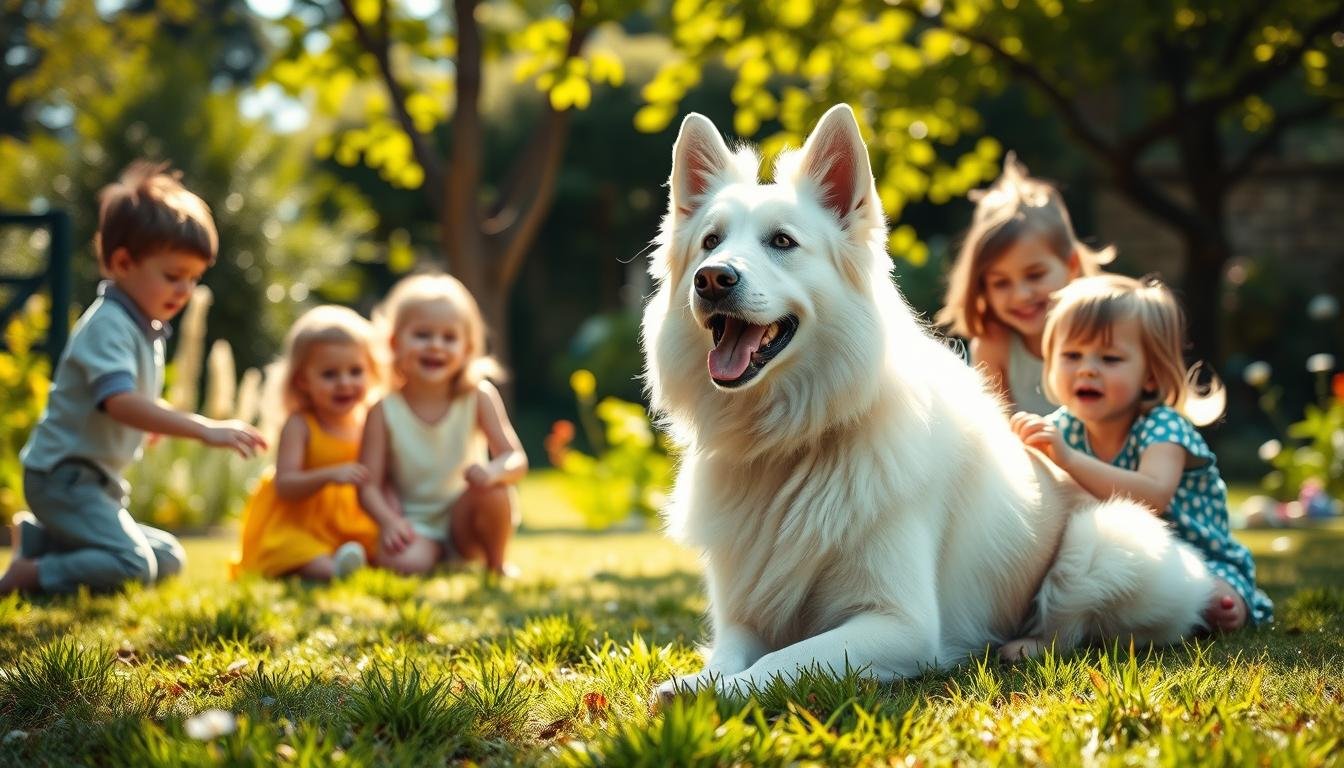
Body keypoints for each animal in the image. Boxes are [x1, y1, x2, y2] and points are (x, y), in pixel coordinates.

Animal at [642, 102, 1220, 699]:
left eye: (782, 242)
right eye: (710, 242)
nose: (712, 279)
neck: (791, 443)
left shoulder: (902, 624)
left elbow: (780, 662)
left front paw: (713, 694)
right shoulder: (744, 616)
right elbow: (730, 655)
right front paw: (695, 681)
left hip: (1106, 539)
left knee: (1074, 624)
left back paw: (1024, 644)